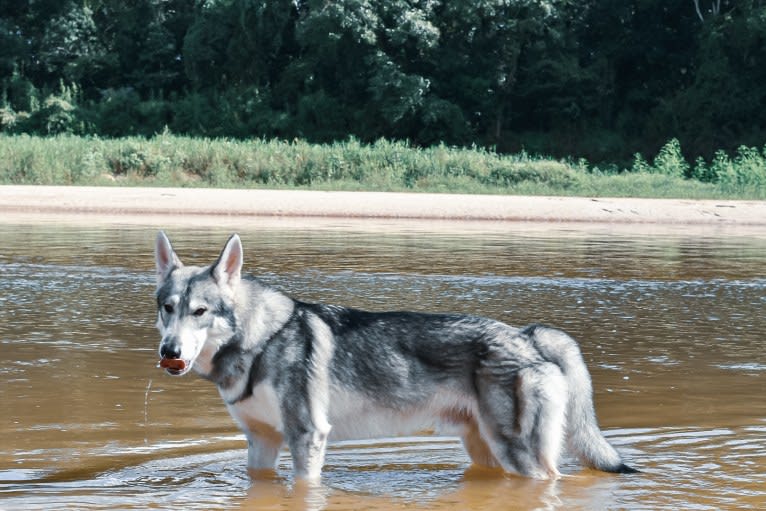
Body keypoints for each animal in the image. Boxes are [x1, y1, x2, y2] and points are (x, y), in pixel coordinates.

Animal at [154, 234, 636, 482]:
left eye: (200, 312)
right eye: (168, 308)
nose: (169, 352)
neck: (261, 340)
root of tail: (527, 334)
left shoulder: (308, 437)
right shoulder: (261, 443)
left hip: (518, 455)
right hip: (485, 452)